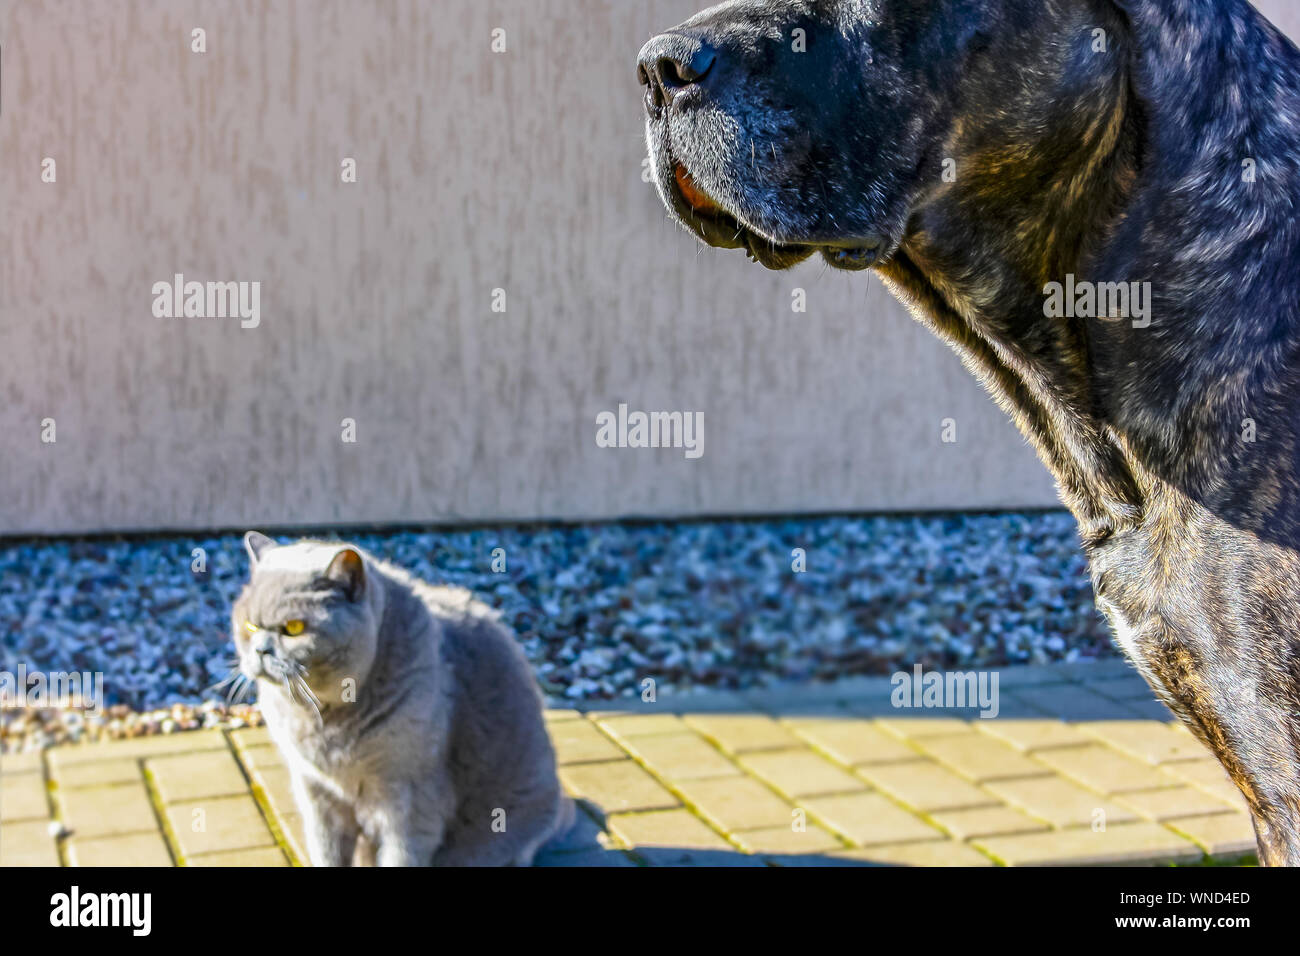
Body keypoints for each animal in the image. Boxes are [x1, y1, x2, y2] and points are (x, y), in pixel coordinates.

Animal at [230, 530, 574, 868]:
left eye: (293, 628)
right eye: (249, 626)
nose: (260, 650)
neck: (322, 716)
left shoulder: (409, 800)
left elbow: (401, 856)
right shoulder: (317, 795)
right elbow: (326, 853)